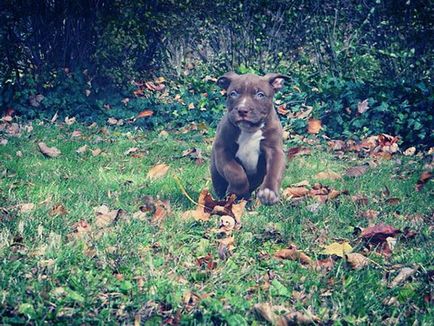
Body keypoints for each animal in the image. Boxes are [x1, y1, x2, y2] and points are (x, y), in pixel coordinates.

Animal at [210, 72, 288, 204]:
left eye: (260, 94)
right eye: (233, 93)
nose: (242, 110)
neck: (249, 130)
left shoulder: (275, 150)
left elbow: (274, 170)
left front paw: (269, 192)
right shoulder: (222, 151)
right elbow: (235, 172)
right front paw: (236, 192)